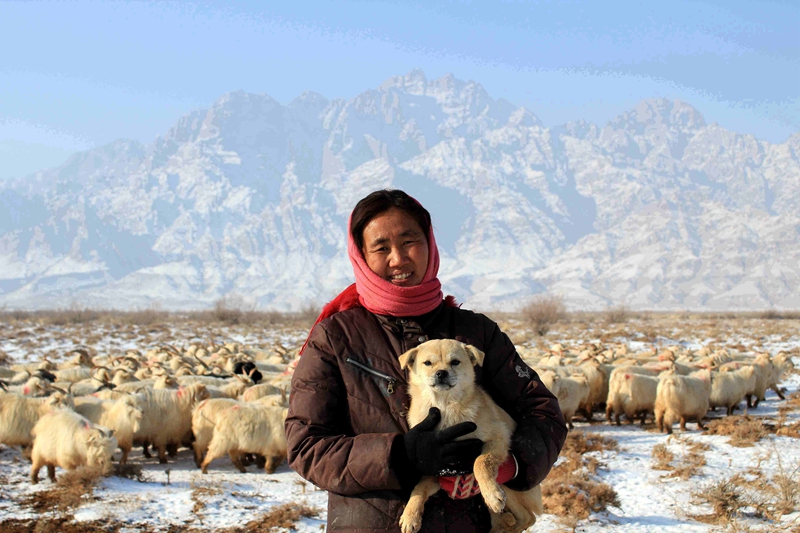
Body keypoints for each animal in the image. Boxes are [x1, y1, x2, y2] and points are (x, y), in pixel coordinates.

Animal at [400, 338, 544, 532]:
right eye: (427, 363)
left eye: (455, 362)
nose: (441, 373)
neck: (445, 406)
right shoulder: (435, 470)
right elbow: (419, 487)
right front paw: (410, 515)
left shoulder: (498, 438)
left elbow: (480, 463)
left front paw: (491, 493)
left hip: (509, 488)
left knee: (528, 517)